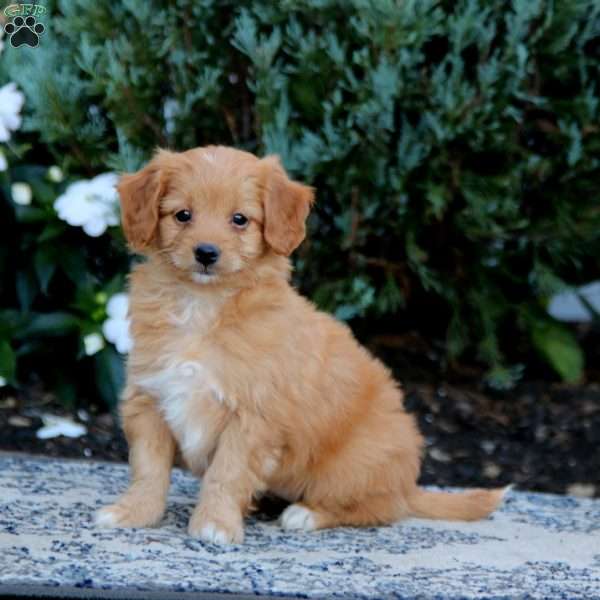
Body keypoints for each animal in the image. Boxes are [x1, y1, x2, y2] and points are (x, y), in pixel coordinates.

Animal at [95, 145, 506, 544]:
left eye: (240, 219)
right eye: (183, 215)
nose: (206, 253)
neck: (203, 304)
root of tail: (408, 484)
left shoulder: (252, 417)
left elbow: (227, 473)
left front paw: (215, 524)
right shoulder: (149, 398)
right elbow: (148, 468)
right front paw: (135, 512)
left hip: (355, 466)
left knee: (381, 507)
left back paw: (306, 514)